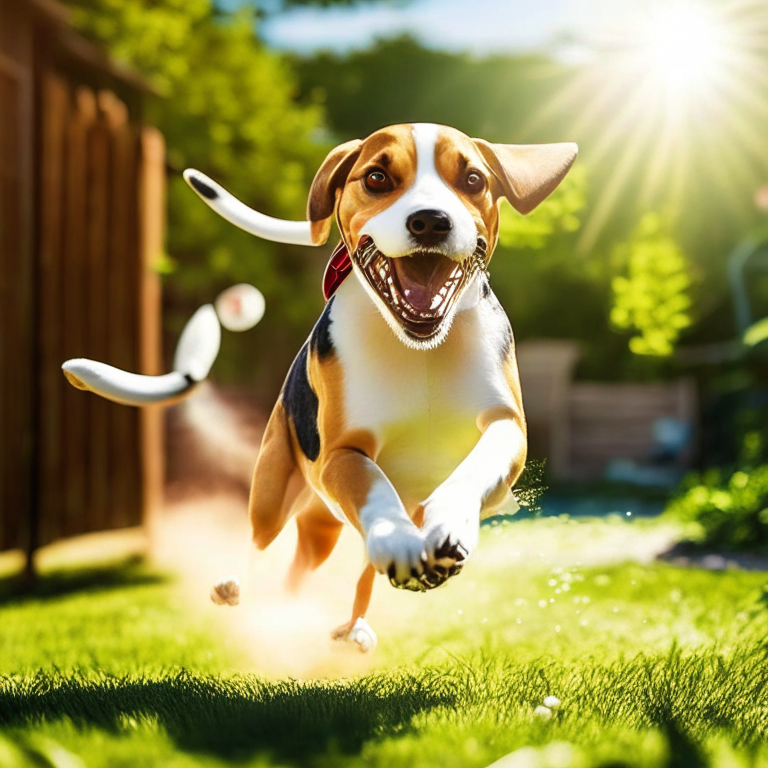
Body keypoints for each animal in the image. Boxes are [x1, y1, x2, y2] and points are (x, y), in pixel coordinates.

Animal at [64, 123, 576, 652]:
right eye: (376, 178)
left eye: (473, 179)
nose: (431, 222)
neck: (420, 350)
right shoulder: (342, 454)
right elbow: (374, 488)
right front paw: (395, 535)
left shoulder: (506, 427)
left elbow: (476, 466)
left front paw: (448, 522)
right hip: (274, 492)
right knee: (261, 545)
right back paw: (240, 587)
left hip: (323, 528)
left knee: (335, 573)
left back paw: (352, 625)